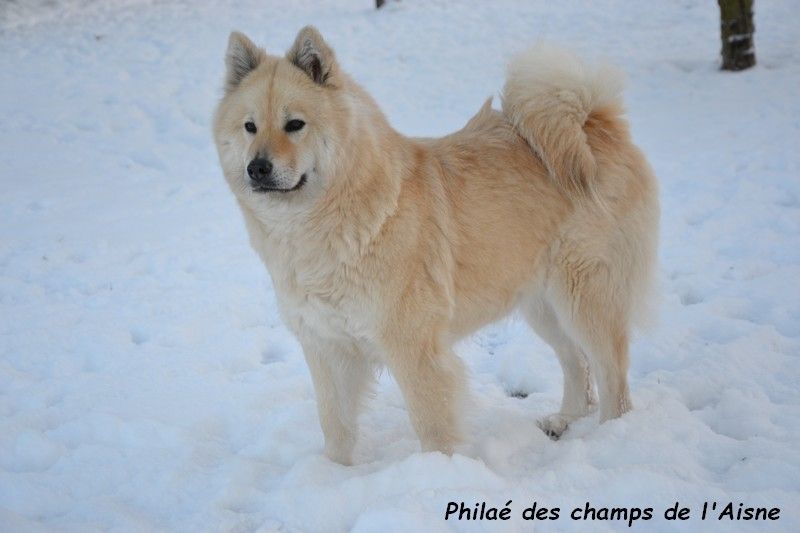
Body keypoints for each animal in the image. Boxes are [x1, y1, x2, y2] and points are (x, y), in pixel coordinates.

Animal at [211, 27, 656, 464]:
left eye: (295, 124)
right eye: (250, 127)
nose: (258, 168)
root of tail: (592, 121)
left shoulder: (413, 347)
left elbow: (431, 424)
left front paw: (438, 473)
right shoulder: (327, 346)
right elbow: (335, 425)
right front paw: (332, 476)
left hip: (585, 299)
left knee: (612, 378)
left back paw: (610, 438)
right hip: (542, 304)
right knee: (576, 362)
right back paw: (566, 420)